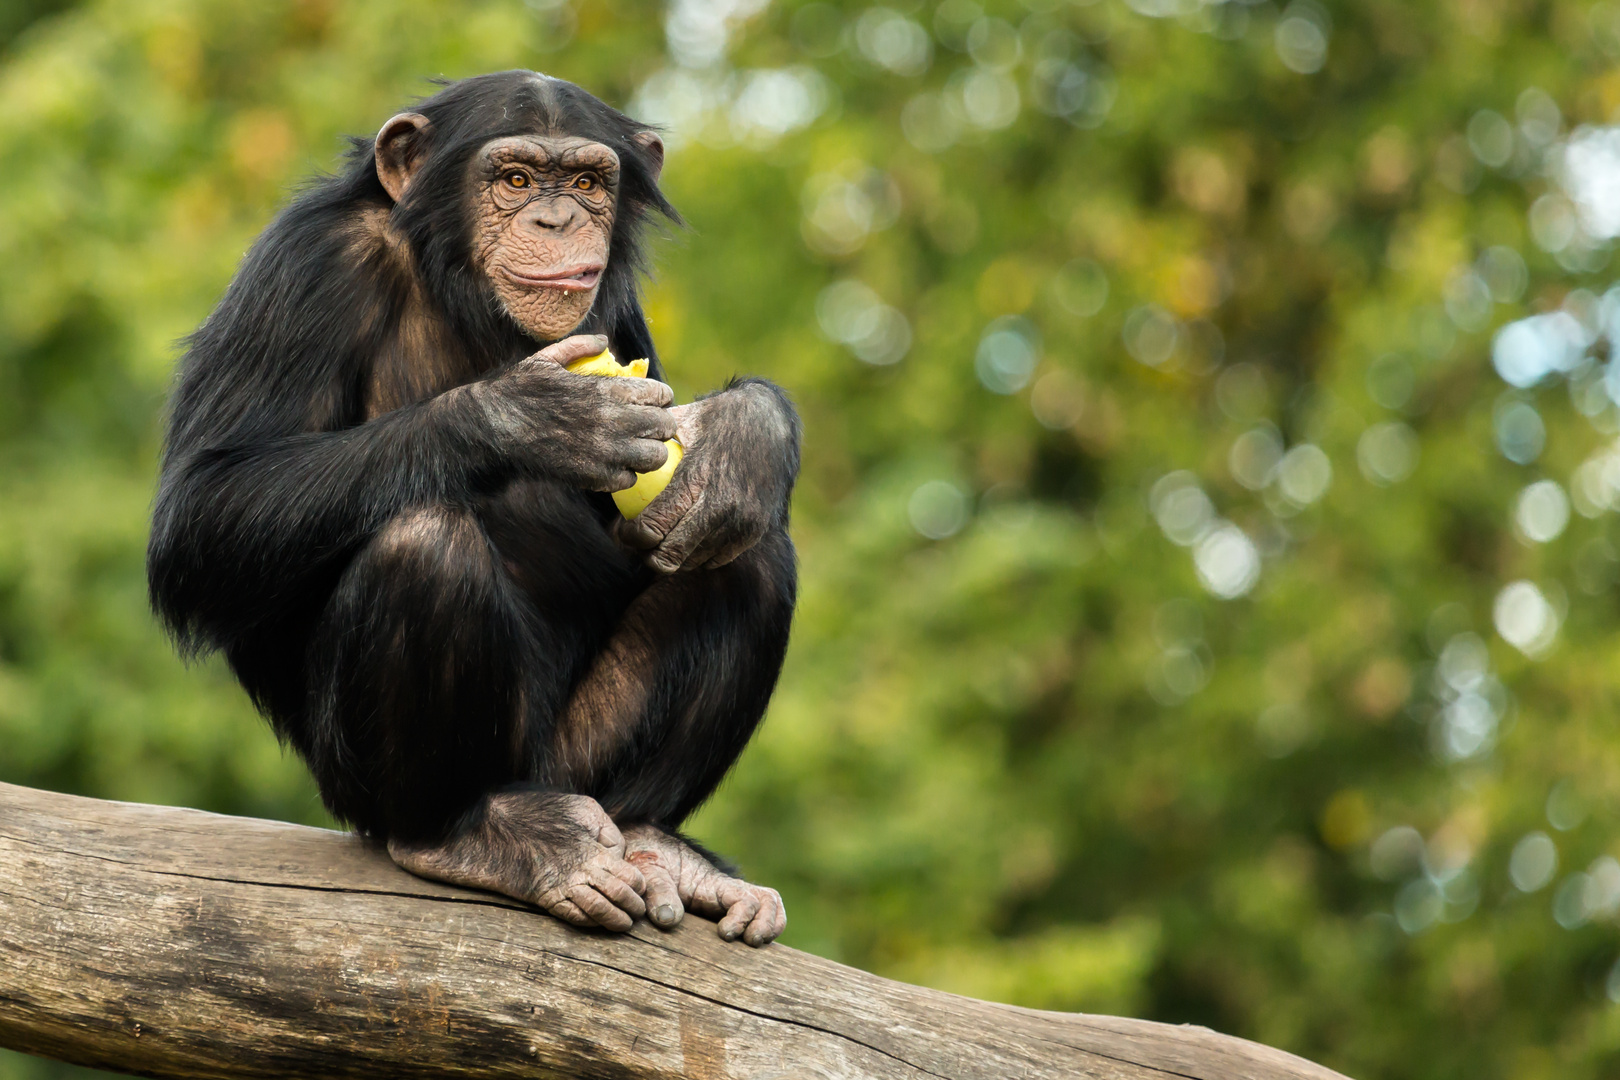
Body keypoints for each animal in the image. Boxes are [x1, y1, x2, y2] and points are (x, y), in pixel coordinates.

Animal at [149, 71, 793, 945]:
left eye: (587, 183)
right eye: (514, 179)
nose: (556, 219)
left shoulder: (617, 314)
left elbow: (663, 505)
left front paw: (744, 437)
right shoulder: (304, 264)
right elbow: (203, 512)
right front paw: (532, 417)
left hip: (578, 764)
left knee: (745, 551)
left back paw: (658, 842)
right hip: (372, 787)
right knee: (424, 545)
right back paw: (472, 836)